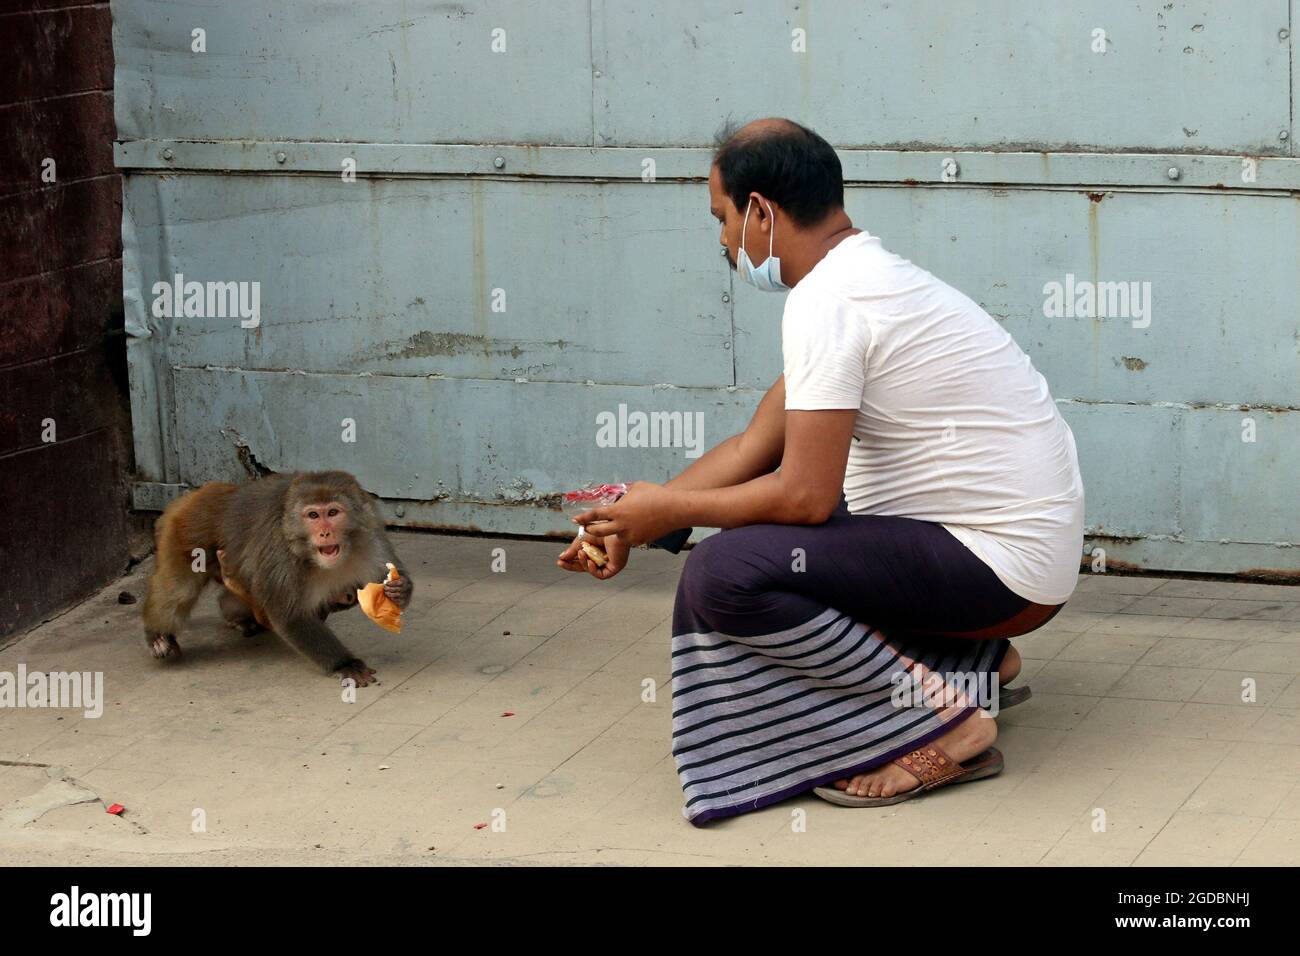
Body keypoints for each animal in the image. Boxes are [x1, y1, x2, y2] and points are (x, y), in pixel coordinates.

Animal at [141, 473, 410, 686]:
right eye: (313, 515)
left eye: (333, 513)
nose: (325, 533)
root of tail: (206, 491)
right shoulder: (280, 551)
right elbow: (290, 616)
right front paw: (344, 664)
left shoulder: (371, 536)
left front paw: (400, 589)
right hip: (189, 528)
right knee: (178, 590)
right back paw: (158, 636)